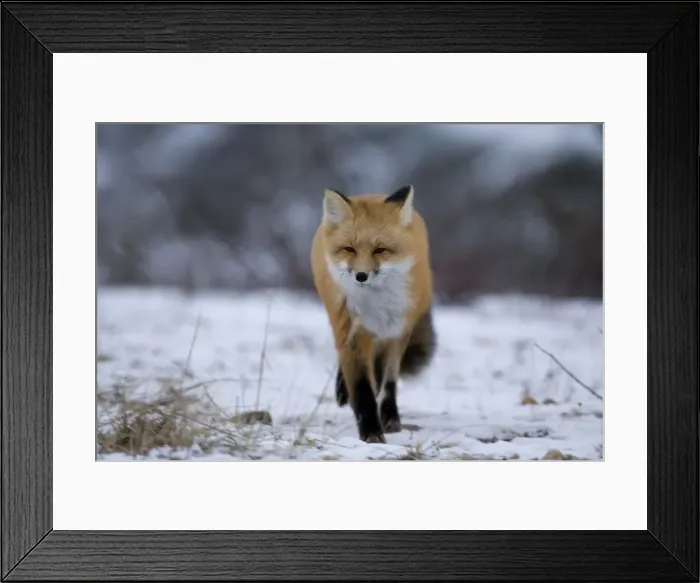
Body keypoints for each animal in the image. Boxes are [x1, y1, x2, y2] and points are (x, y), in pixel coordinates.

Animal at [310, 184, 437, 443]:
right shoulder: (351, 329)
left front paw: (386, 420)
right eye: (349, 249)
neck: (375, 304)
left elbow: (386, 381)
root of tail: (370, 193)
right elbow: (362, 387)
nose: (361, 276)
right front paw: (370, 432)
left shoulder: (396, 330)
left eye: (380, 250)